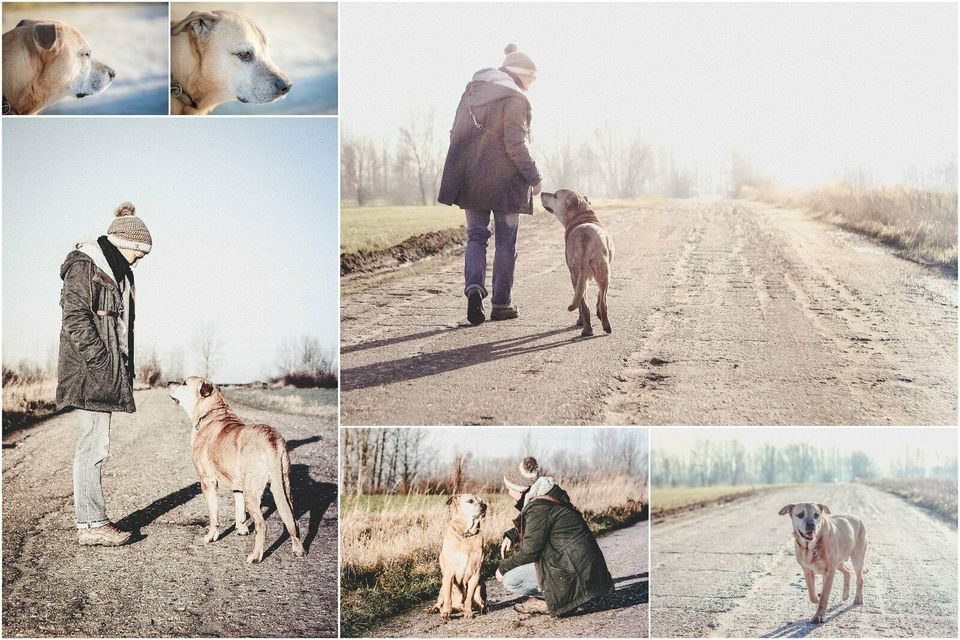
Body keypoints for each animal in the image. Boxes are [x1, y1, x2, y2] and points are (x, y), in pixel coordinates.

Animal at [168, 378, 304, 564]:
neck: (209, 413)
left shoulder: (207, 481)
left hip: (252, 491)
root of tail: (273, 441)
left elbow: (213, 514)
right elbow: (239, 511)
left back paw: (255, 556)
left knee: (262, 524)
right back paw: (298, 549)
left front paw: (211, 537)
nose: (168, 383)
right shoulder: (237, 485)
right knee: (292, 519)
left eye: (184, 383)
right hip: (283, 486)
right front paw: (241, 529)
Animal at [540, 190, 616, 338]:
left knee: (584, 304)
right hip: (602, 273)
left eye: (555, 195)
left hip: (577, 275)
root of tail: (584, 238)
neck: (582, 215)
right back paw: (604, 326)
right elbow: (597, 297)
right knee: (601, 303)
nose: (541, 192)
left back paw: (587, 328)